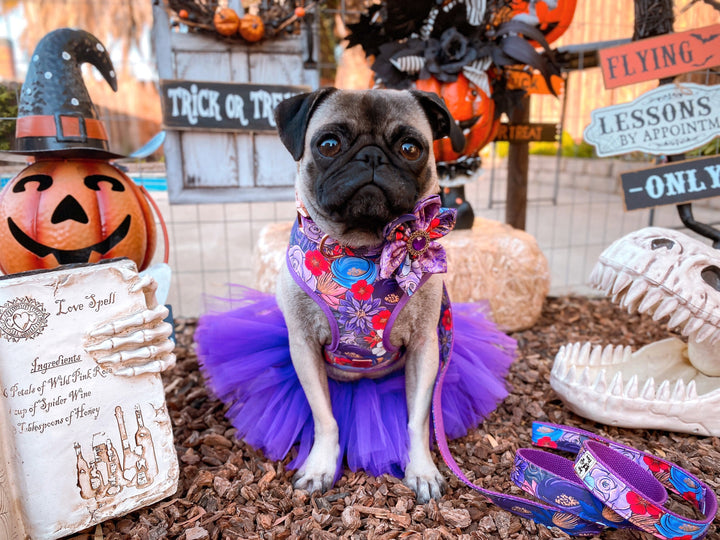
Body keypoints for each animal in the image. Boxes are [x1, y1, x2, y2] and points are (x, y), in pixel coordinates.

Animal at [272, 87, 464, 502]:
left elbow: (417, 420)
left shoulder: (425, 348)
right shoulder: (304, 347)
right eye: (328, 144)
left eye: (410, 148)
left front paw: (422, 470)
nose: (372, 156)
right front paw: (319, 467)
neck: (363, 252)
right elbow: (325, 417)